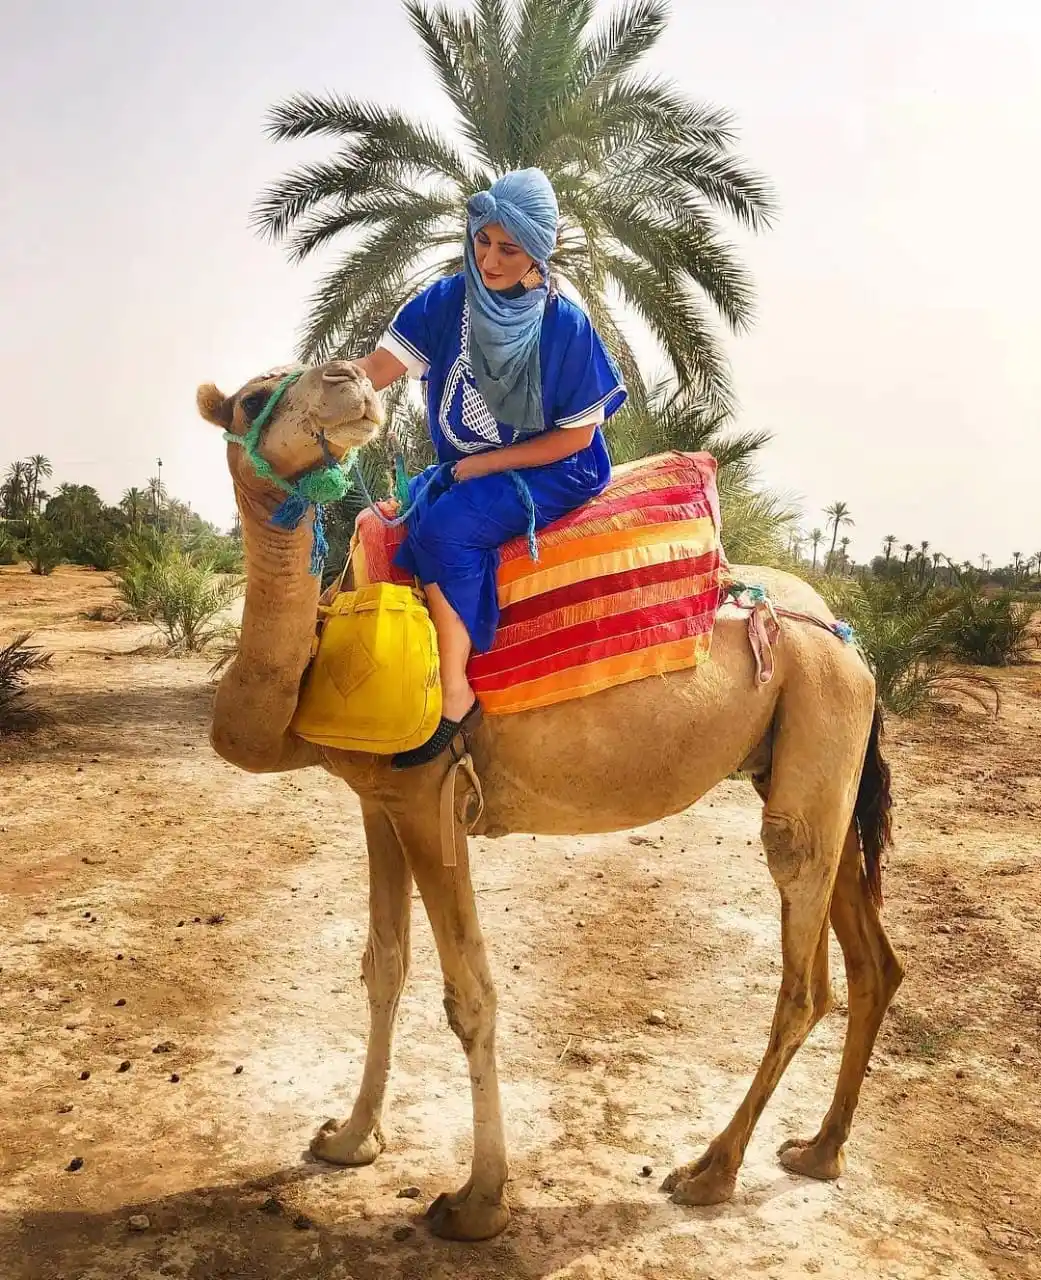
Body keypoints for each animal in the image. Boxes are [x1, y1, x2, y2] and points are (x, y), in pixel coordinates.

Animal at [196, 359, 904, 1242]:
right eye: (254, 401)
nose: (348, 377)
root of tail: (847, 636)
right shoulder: (375, 799)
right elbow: (383, 966)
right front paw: (350, 1138)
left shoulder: (428, 797)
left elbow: (470, 995)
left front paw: (477, 1202)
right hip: (812, 757)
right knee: (874, 962)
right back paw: (818, 1150)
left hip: (811, 738)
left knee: (804, 977)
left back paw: (710, 1171)